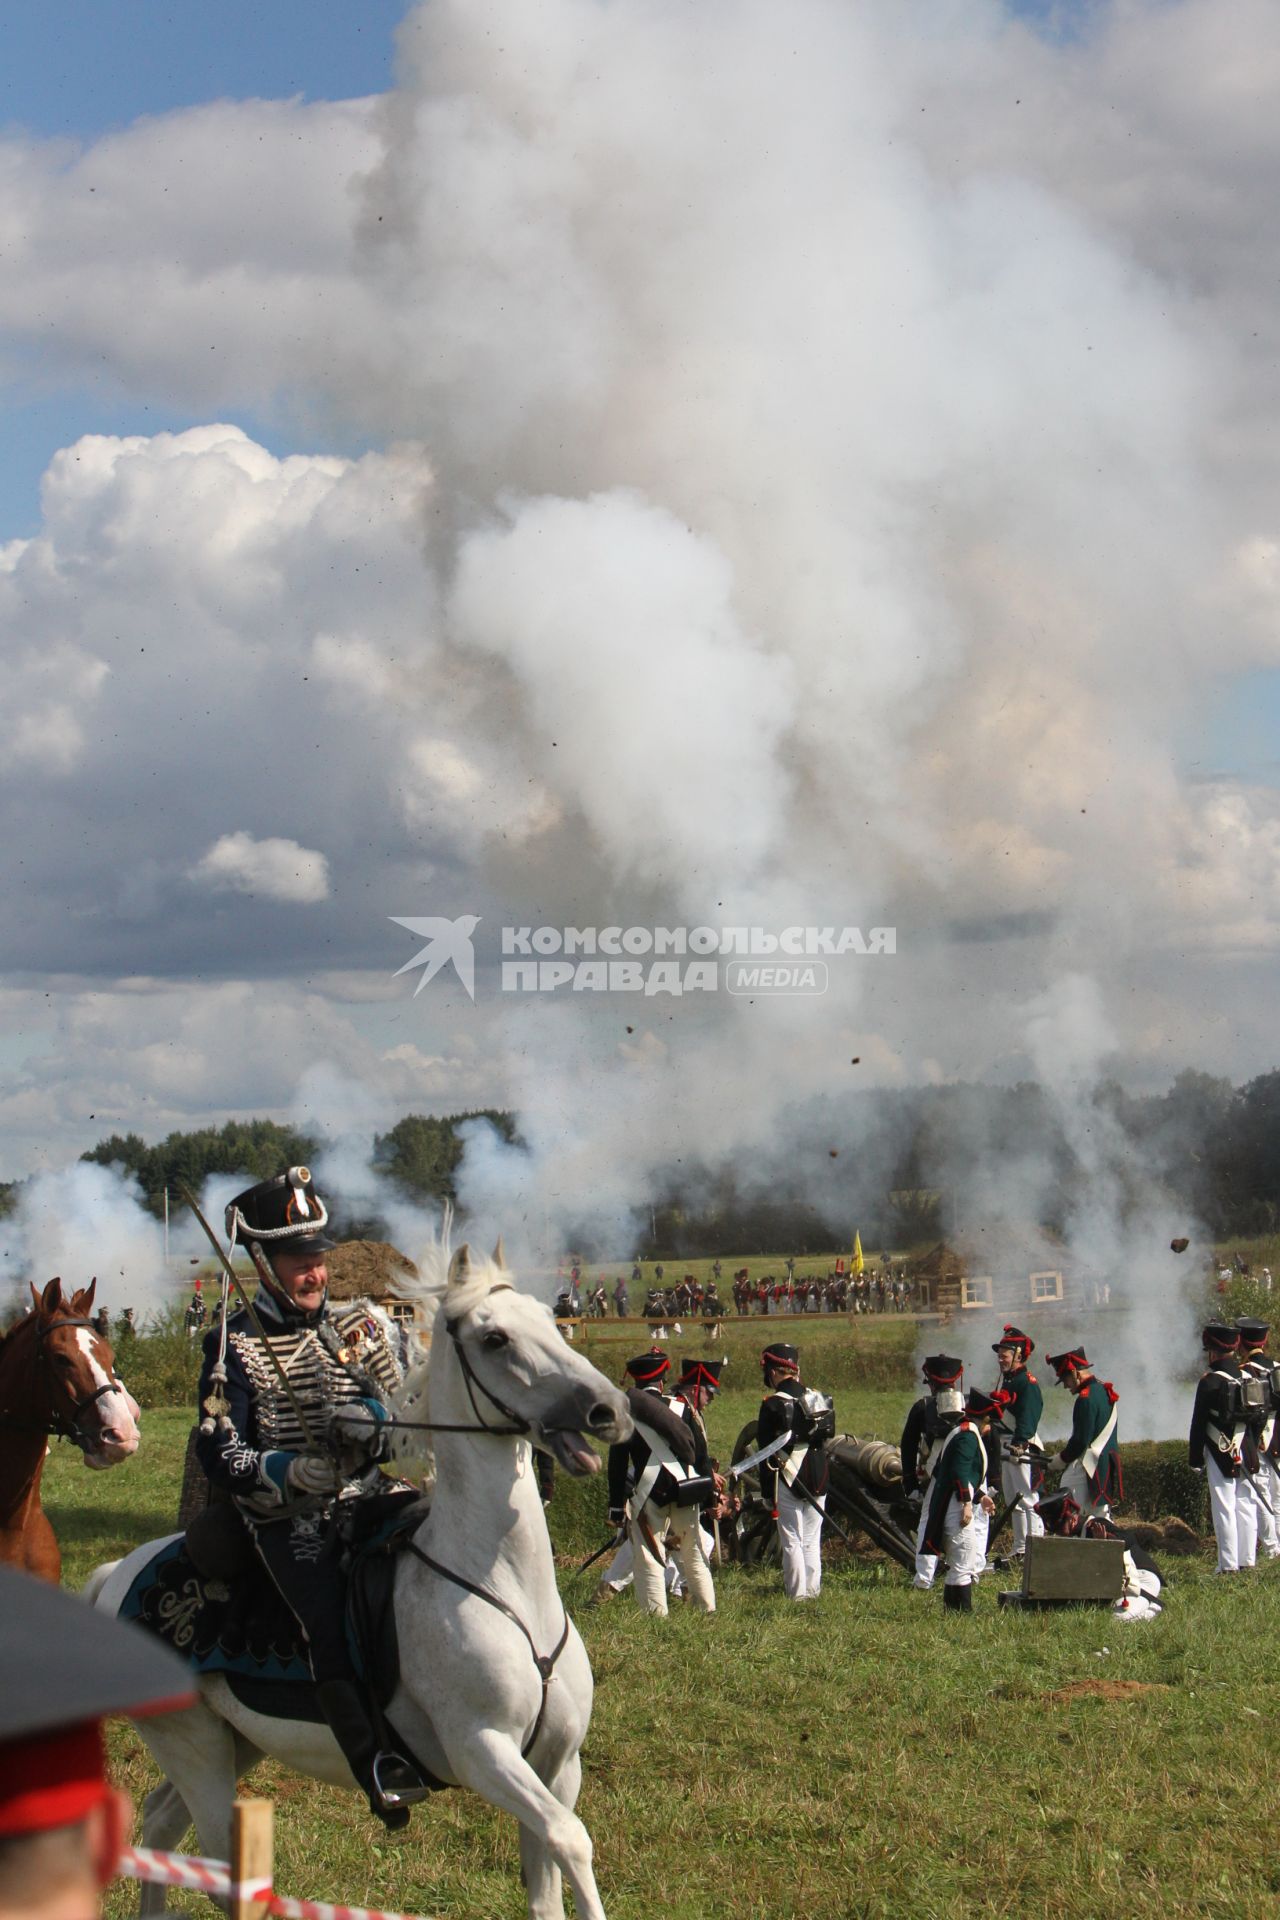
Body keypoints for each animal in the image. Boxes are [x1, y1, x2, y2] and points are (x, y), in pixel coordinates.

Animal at [88, 1244, 629, 1920]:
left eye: (549, 1318)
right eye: (495, 1338)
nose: (610, 1410)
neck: (506, 1587)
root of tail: (119, 1575)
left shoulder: (557, 1764)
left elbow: (548, 1884)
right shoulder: (483, 1751)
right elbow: (571, 1839)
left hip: (233, 1741)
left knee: (161, 1822)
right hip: (194, 1748)